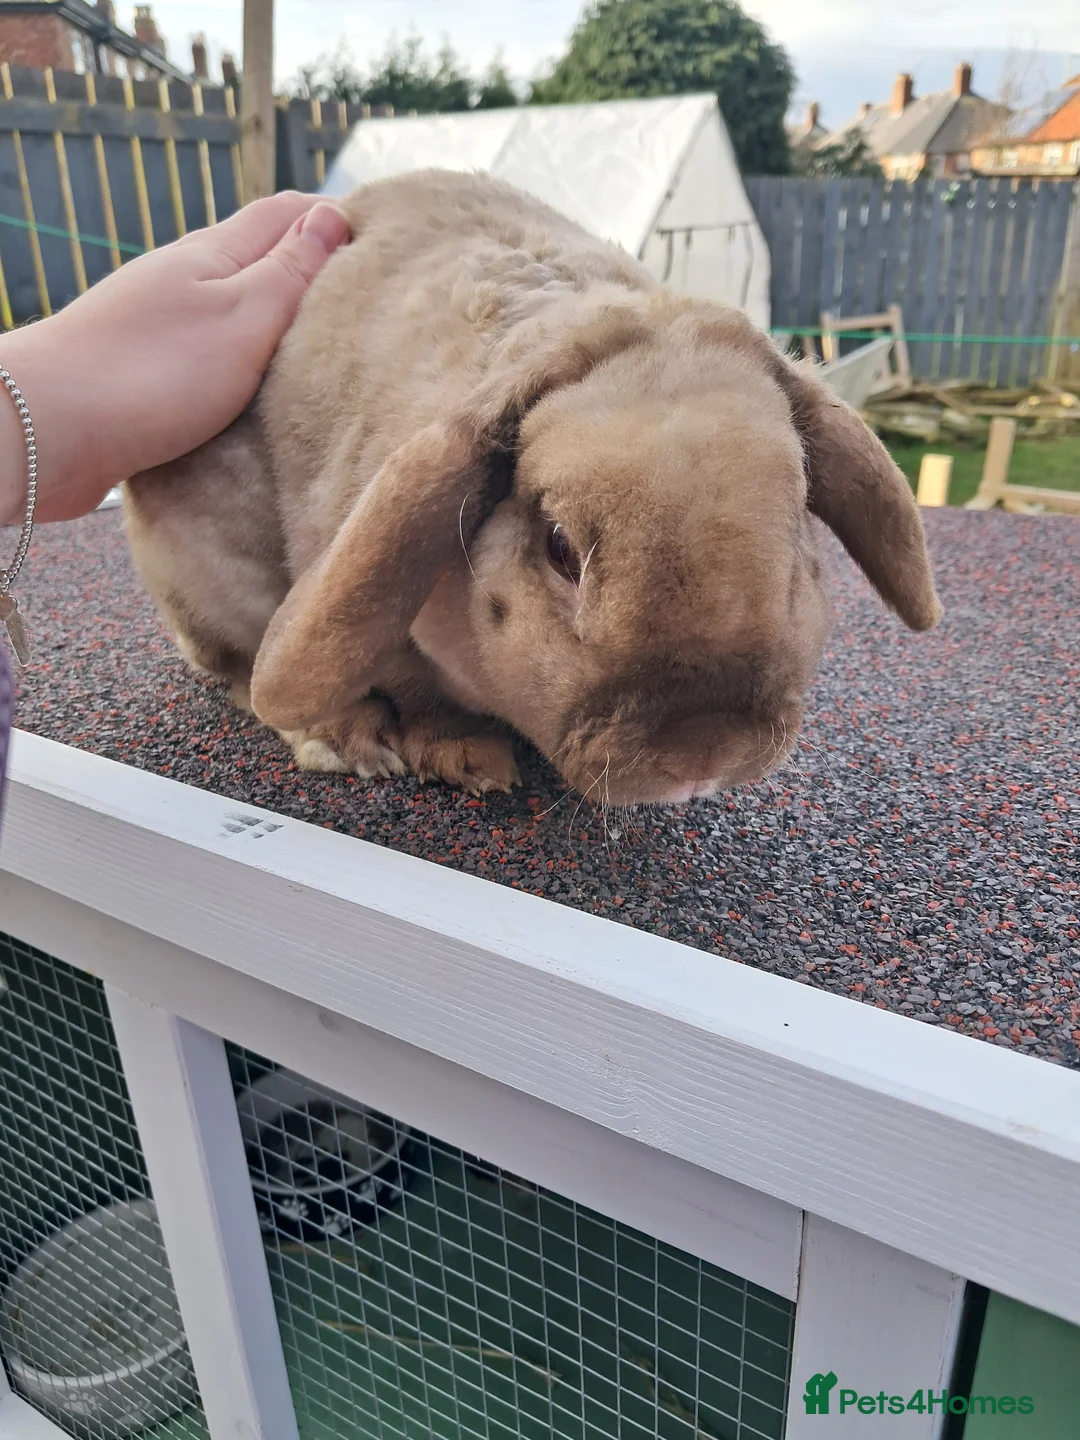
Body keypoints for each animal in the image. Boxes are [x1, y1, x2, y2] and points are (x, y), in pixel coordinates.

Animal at [124, 169, 941, 806]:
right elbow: (411, 688)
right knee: (240, 674)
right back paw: (343, 740)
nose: (702, 756)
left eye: (797, 529)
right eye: (559, 551)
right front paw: (469, 758)